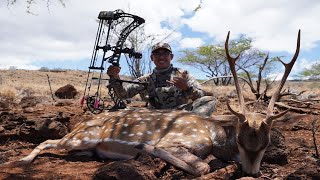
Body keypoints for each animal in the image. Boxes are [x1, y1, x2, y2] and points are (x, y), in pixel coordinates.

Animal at [0, 30, 308, 176]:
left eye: (267, 143)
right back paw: (21, 160)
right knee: (46, 142)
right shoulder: (173, 142)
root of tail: (79, 125)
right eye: (242, 140)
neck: (213, 136)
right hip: (81, 137)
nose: (252, 172)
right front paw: (146, 150)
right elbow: (202, 166)